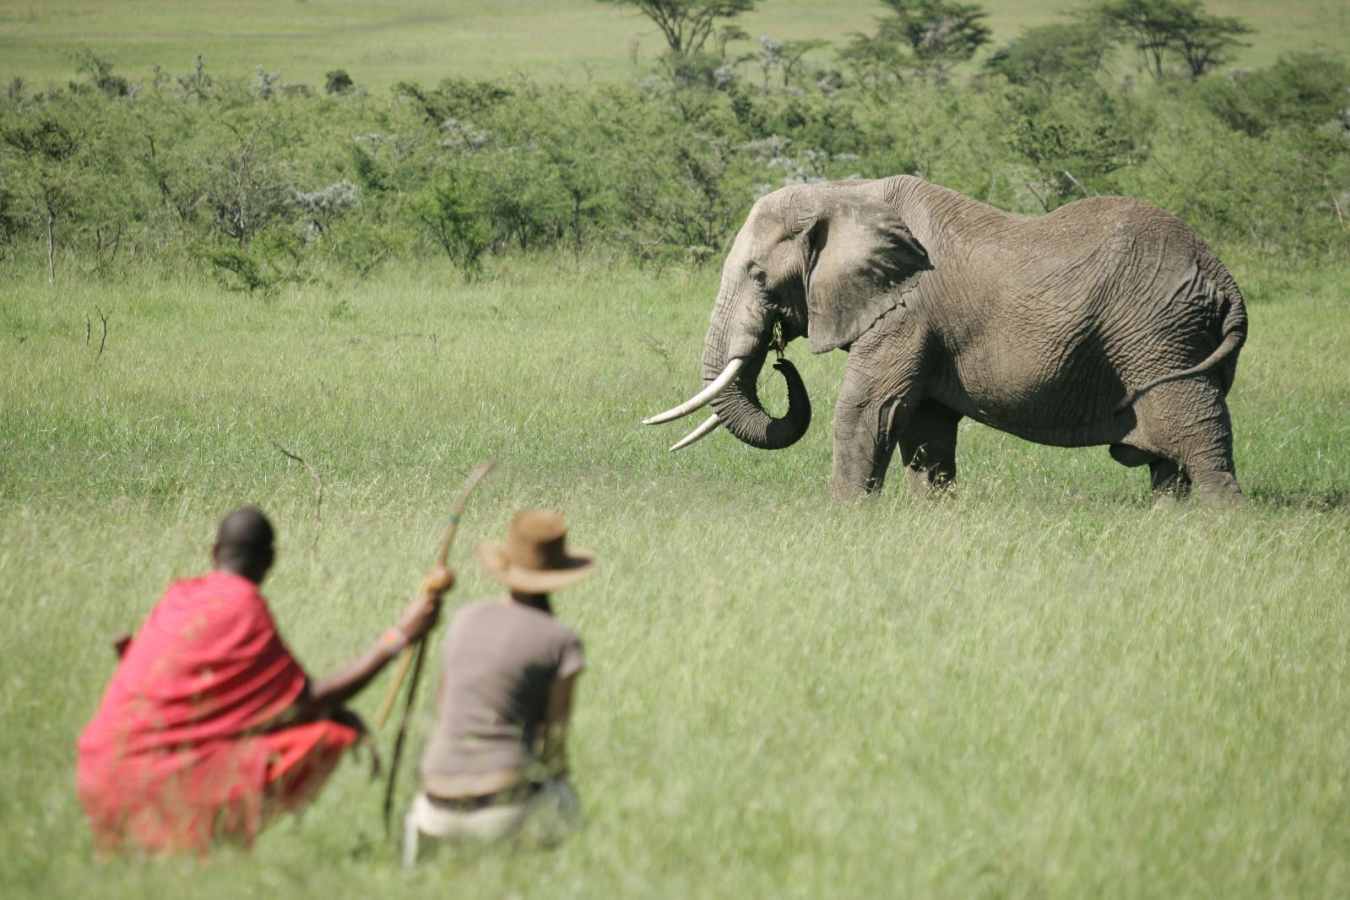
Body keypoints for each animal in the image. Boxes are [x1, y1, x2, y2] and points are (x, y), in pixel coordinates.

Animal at [643, 176, 1247, 503]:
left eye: (759, 276)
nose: (778, 359)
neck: (844, 194)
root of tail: (1223, 279)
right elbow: (925, 428)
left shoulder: (905, 312)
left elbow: (866, 409)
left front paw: (843, 517)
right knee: (1169, 463)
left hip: (1161, 337)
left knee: (1197, 443)